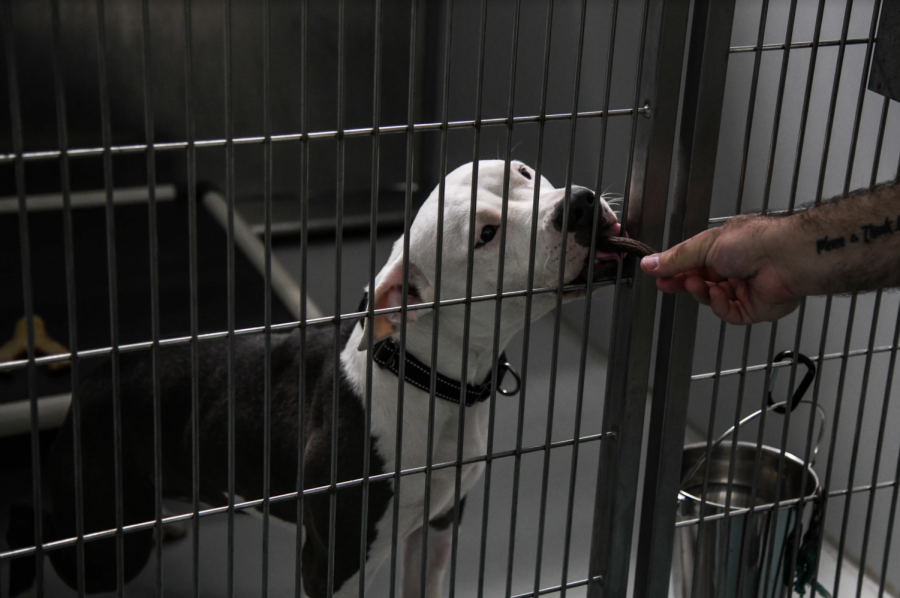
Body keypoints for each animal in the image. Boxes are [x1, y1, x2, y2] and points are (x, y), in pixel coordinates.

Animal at [8, 158, 620, 596]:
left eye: (524, 174)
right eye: (487, 235)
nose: (580, 205)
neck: (427, 378)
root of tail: (99, 370)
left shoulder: (440, 524)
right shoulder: (335, 561)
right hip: (102, 548)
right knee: (50, 530)